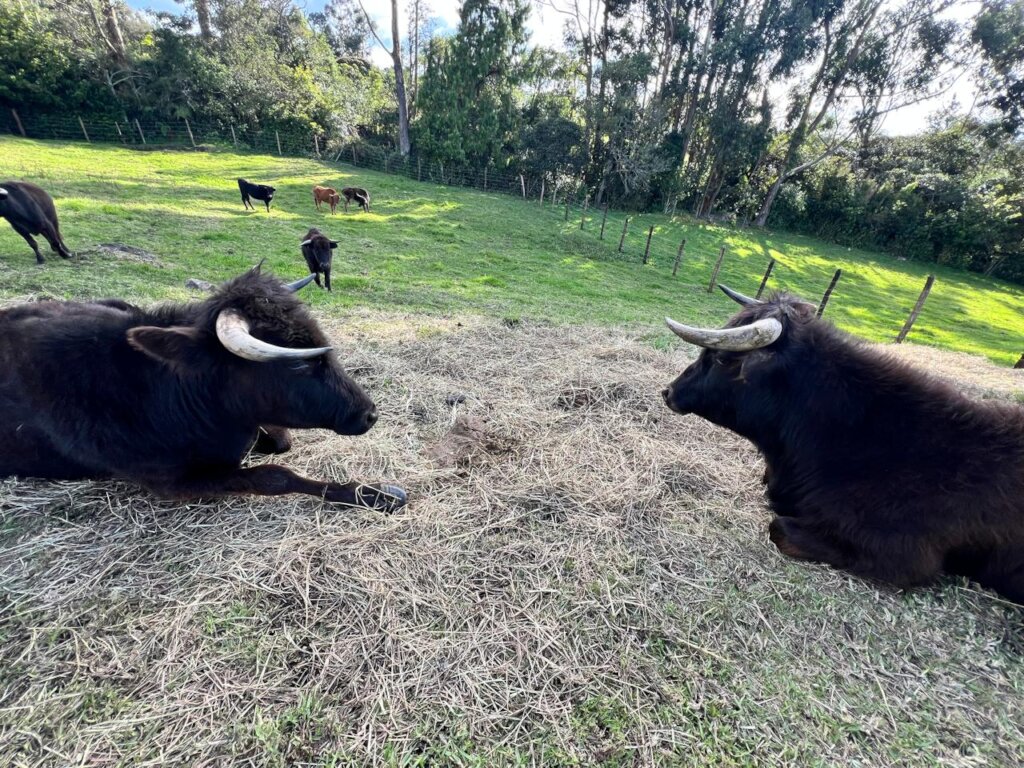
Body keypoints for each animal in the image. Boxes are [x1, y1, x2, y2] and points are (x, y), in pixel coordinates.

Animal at [0, 265, 406, 511]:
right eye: (299, 362)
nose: (369, 414)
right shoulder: (169, 483)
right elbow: (275, 475)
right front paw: (371, 493)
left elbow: (280, 441)